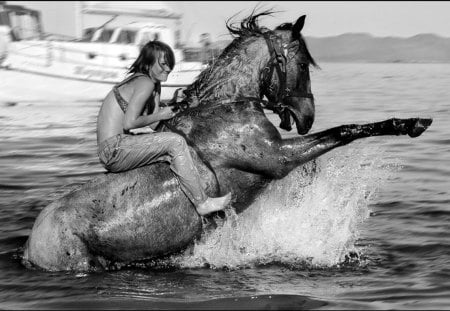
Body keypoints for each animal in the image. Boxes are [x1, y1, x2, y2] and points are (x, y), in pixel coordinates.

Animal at [22, 12, 432, 272]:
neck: (227, 107)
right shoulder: (278, 159)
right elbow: (344, 131)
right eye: (301, 65)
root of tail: (31, 245)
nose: (306, 116)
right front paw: (410, 123)